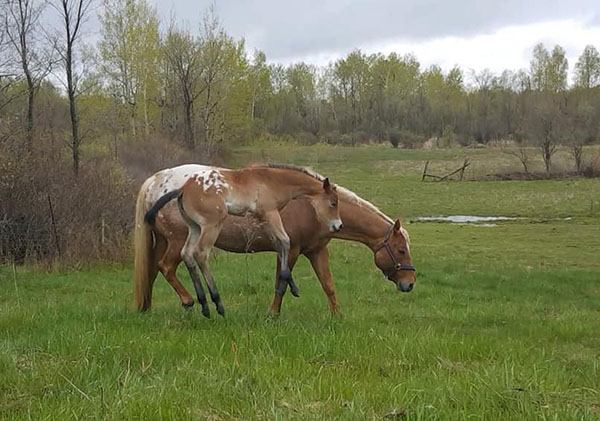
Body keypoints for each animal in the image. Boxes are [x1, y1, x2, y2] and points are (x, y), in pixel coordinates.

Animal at [134, 164, 414, 316]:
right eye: (401, 250)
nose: (409, 284)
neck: (304, 203)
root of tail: (155, 182)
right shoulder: (293, 248)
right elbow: (281, 280)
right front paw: (274, 312)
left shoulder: (316, 251)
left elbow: (328, 285)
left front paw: (337, 315)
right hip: (178, 240)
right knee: (169, 266)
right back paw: (195, 301)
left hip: (164, 241)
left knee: (153, 271)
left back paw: (150, 307)